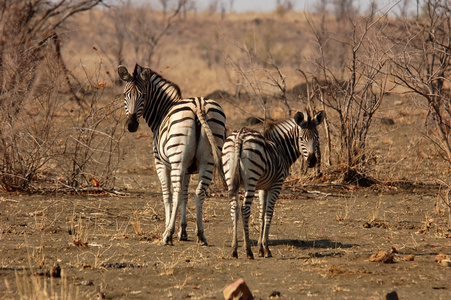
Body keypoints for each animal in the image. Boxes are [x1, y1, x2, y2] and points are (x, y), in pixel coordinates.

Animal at [118, 64, 228, 245]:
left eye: (143, 96)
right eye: (125, 95)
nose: (131, 125)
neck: (163, 110)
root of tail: (198, 105)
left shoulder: (161, 163)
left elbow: (168, 195)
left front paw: (169, 229)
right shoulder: (189, 168)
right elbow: (185, 195)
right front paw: (183, 231)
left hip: (177, 160)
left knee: (175, 193)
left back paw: (167, 235)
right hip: (208, 160)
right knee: (199, 192)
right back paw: (201, 235)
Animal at [222, 109, 324, 258]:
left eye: (317, 138)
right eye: (301, 139)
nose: (311, 161)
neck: (281, 149)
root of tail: (240, 134)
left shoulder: (262, 187)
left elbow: (261, 215)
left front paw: (260, 248)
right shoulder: (276, 184)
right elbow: (269, 214)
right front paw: (266, 248)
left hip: (230, 177)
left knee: (234, 207)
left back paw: (234, 250)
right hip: (250, 180)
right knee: (245, 209)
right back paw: (248, 251)